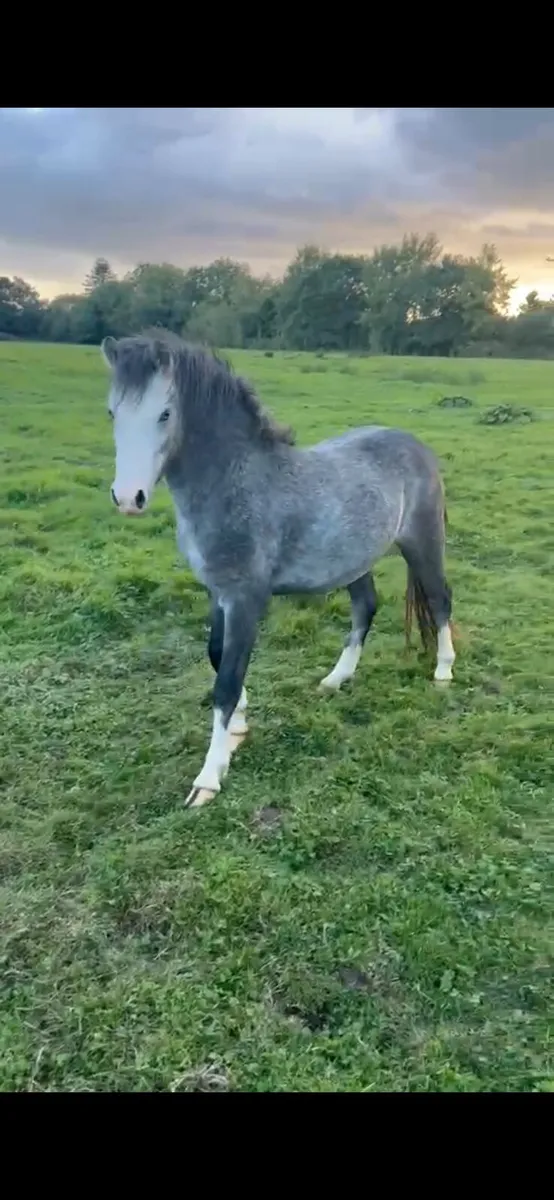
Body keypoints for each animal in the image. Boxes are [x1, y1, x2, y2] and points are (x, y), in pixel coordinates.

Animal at [101, 330, 455, 809]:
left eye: (165, 413)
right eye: (112, 412)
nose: (128, 498)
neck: (237, 484)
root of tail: (416, 445)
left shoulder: (247, 598)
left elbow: (227, 680)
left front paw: (209, 778)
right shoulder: (218, 593)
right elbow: (218, 658)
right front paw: (237, 728)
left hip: (422, 543)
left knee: (439, 599)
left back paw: (443, 671)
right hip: (353, 560)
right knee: (365, 608)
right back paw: (335, 679)